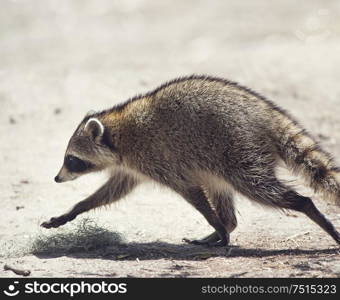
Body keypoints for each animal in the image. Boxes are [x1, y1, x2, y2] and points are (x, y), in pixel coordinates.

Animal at [41, 74, 340, 246]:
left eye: (72, 159)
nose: (56, 177)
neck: (118, 129)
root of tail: (266, 113)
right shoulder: (133, 166)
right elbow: (113, 191)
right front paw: (74, 210)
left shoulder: (159, 158)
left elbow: (191, 191)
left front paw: (215, 223)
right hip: (224, 159)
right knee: (221, 189)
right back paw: (224, 227)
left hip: (240, 151)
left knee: (261, 188)